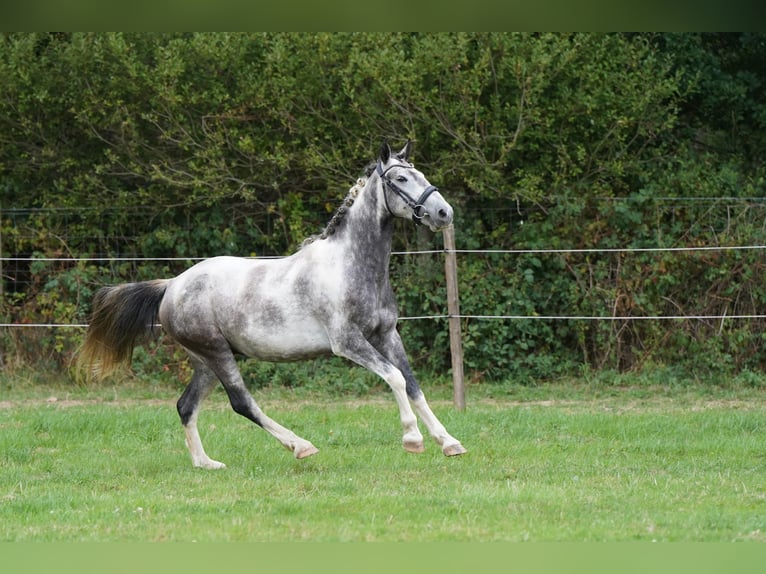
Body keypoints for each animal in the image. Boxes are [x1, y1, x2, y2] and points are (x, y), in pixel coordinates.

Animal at [77, 140, 467, 469]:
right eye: (400, 178)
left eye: (421, 174)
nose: (444, 212)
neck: (350, 265)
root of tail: (172, 285)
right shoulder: (348, 343)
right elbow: (395, 378)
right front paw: (413, 439)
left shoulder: (387, 335)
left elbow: (413, 385)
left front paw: (449, 442)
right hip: (217, 353)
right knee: (241, 403)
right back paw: (300, 446)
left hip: (206, 361)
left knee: (186, 406)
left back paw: (206, 464)